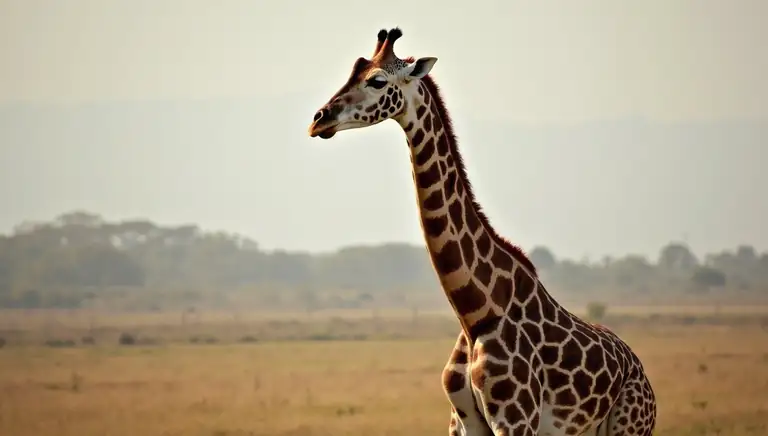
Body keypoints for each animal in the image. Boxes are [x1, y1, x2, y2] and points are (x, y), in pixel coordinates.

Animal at [307, 28, 657, 436]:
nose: (318, 120)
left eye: (377, 80)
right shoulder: (463, 423)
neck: (474, 312)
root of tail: (638, 366)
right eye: (355, 70)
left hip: (631, 426)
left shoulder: (516, 419)